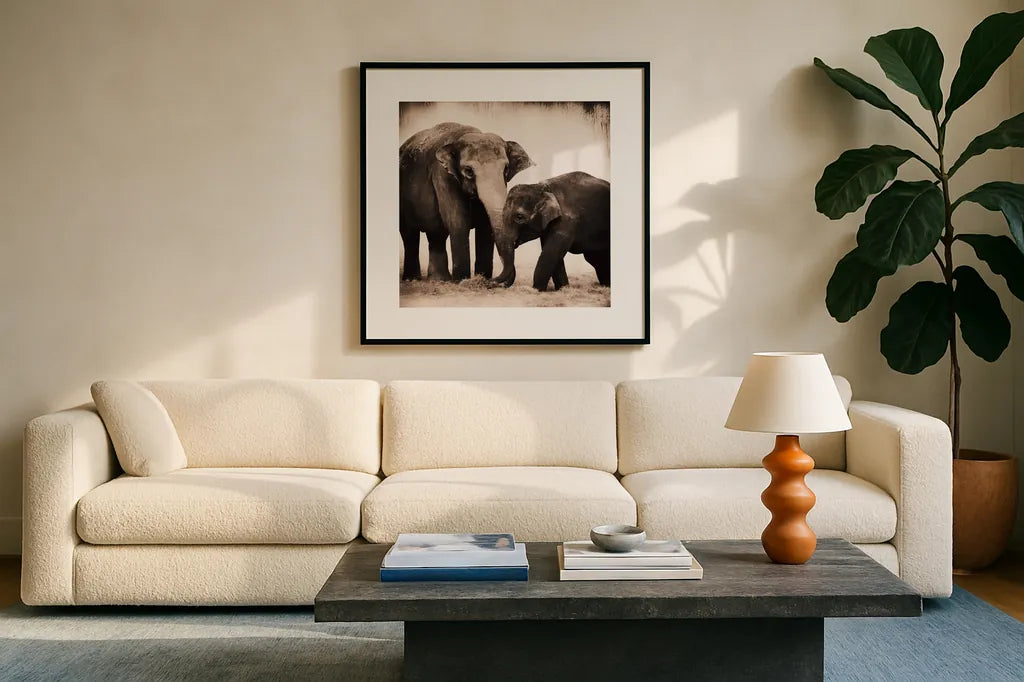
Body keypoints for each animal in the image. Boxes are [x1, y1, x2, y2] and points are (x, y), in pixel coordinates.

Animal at [399, 122, 534, 282]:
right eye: (469, 170)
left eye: (506, 169)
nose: (494, 280)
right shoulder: (443, 176)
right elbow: (458, 221)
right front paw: (462, 281)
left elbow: (485, 225)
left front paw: (482, 279)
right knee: (410, 236)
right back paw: (413, 279)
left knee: (436, 235)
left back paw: (439, 280)